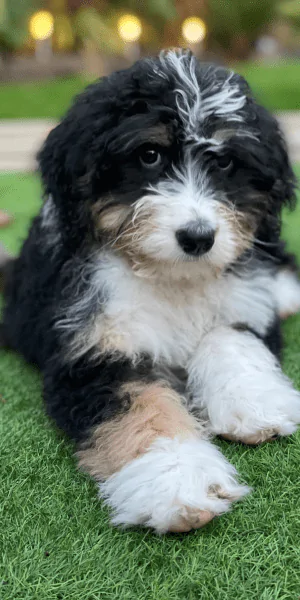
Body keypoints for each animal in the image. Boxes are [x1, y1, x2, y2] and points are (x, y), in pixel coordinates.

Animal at [1, 49, 300, 532]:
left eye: (223, 162)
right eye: (149, 155)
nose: (198, 238)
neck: (168, 276)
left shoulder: (244, 300)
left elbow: (228, 335)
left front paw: (256, 403)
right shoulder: (90, 351)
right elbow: (143, 407)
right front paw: (177, 482)